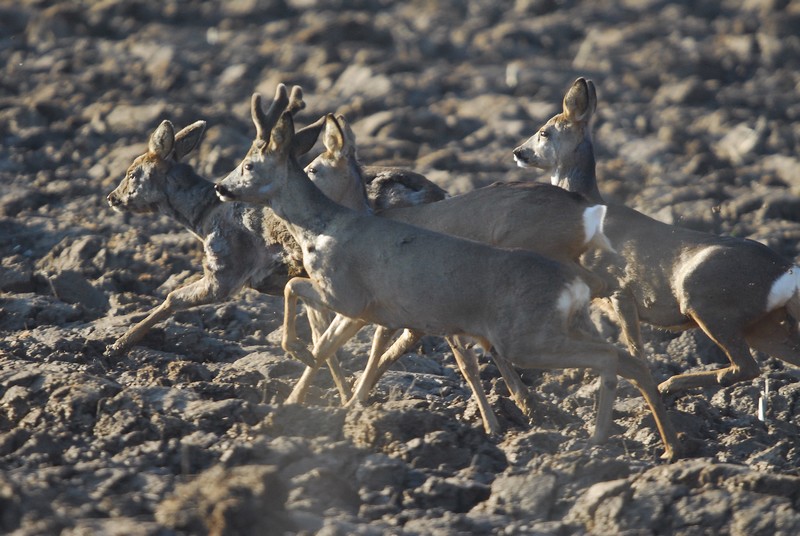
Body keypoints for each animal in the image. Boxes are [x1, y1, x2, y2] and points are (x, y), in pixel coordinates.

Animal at [212, 85, 680, 460]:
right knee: (624, 346)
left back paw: (600, 433)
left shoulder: (363, 300)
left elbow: (320, 316)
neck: (335, 222)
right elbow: (347, 345)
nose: (221, 186)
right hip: (566, 315)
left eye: (250, 164)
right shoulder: (386, 311)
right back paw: (664, 441)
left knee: (608, 349)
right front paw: (335, 400)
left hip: (530, 328)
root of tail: (585, 209)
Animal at [512, 76, 800, 394]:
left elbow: (635, 348)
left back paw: (671, 383)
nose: (518, 152)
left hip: (708, 300)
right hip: (762, 323)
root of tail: (789, 271)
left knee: (745, 366)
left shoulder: (619, 287)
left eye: (544, 132)